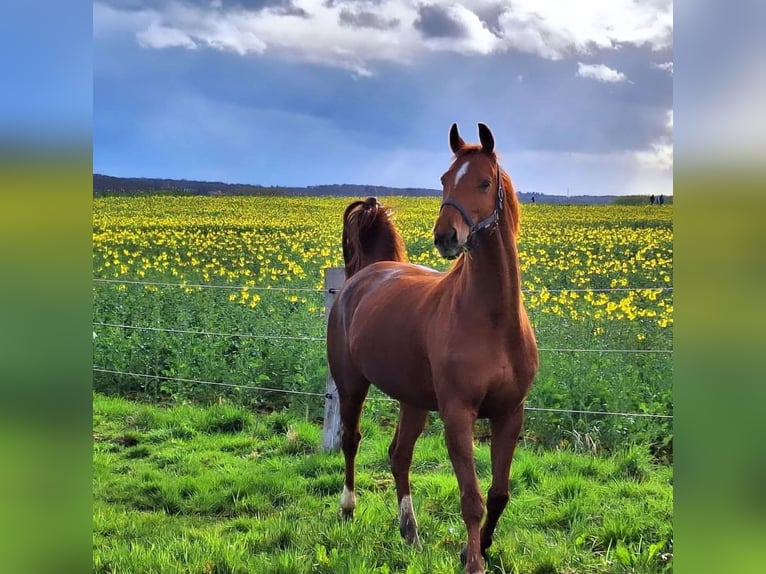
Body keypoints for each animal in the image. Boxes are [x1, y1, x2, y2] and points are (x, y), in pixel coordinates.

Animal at [326, 122, 539, 574]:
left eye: (483, 181)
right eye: (444, 179)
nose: (445, 236)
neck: (492, 319)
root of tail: (367, 273)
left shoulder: (510, 414)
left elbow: (499, 493)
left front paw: (480, 548)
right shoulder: (458, 415)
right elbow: (472, 498)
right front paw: (472, 561)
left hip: (414, 400)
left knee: (399, 454)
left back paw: (411, 531)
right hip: (351, 385)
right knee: (351, 439)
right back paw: (348, 508)